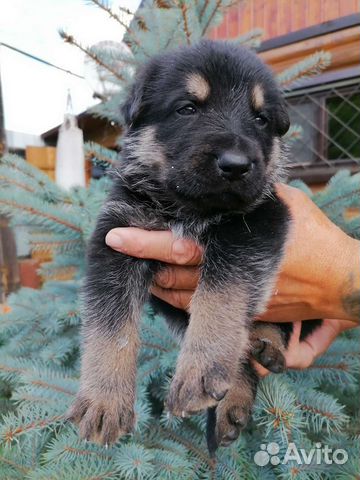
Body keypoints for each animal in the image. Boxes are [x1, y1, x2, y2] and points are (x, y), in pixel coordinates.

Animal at [69, 39, 322, 452]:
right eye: (187, 108)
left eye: (261, 119)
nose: (236, 164)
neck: (188, 208)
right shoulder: (117, 236)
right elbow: (110, 326)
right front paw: (103, 400)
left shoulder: (258, 221)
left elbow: (220, 295)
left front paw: (199, 370)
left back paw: (262, 348)